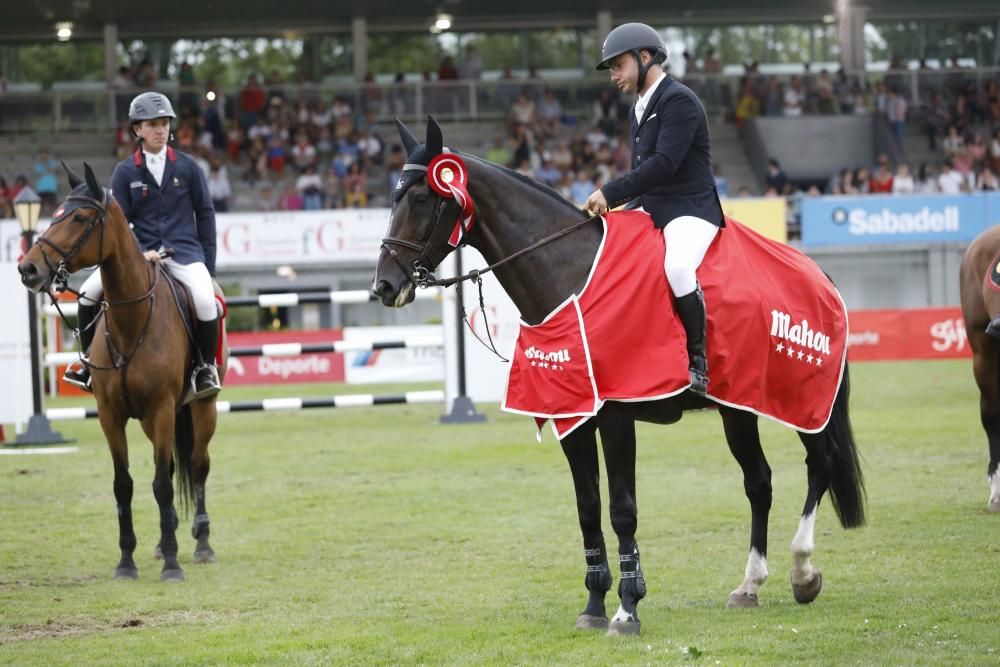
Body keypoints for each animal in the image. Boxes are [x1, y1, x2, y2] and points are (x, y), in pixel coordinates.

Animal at [18, 164, 229, 580]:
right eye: (56, 213)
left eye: (79, 218)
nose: (28, 268)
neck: (132, 319)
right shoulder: (111, 415)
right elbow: (124, 485)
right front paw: (127, 561)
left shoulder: (162, 409)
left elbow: (162, 484)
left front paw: (172, 565)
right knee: (171, 467)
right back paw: (164, 540)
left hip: (202, 408)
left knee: (198, 465)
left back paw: (201, 543)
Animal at [372, 117, 864, 636]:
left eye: (420, 199)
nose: (384, 285)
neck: (571, 274)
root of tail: (820, 274)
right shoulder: (574, 419)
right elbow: (588, 508)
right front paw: (594, 603)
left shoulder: (616, 417)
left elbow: (622, 510)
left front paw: (628, 609)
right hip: (738, 408)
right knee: (760, 483)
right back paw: (748, 586)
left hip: (805, 403)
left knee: (820, 464)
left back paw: (803, 572)